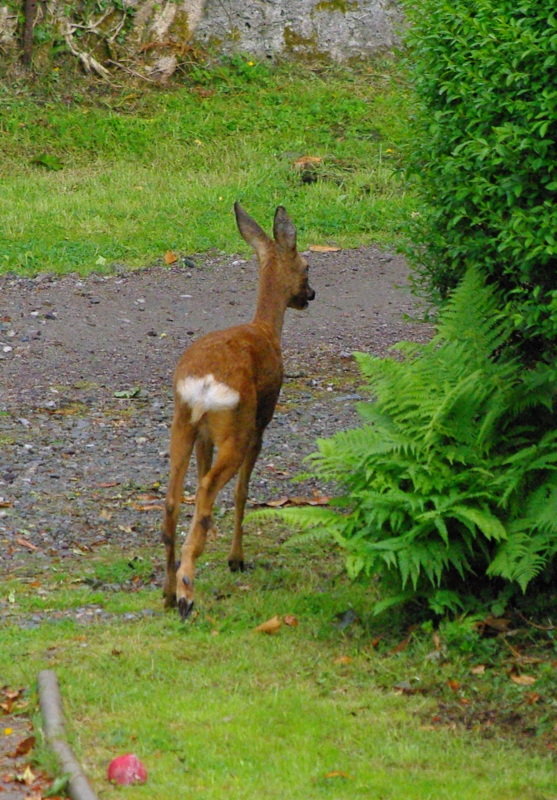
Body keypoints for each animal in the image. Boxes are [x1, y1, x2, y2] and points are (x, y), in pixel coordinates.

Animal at [162, 203, 315, 620]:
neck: (266, 329)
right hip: (238, 426)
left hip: (182, 421)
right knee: (208, 490)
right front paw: (235, 559)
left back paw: (167, 591)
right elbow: (244, 491)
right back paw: (186, 591)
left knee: (174, 499)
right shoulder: (263, 419)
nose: (311, 294)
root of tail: (204, 386)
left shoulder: (204, 437)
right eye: (307, 265)